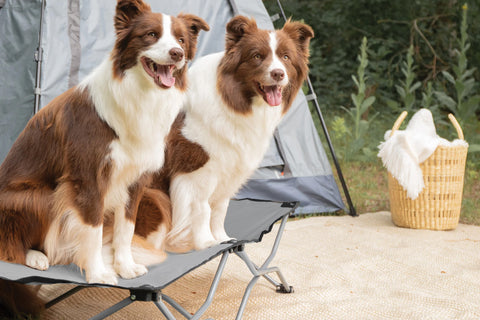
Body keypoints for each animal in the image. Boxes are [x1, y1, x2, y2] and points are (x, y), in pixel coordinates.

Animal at [0, 0, 208, 316]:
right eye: (151, 35)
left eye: (181, 39)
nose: (177, 54)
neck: (140, 95)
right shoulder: (88, 180)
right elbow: (94, 231)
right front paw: (98, 273)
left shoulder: (135, 179)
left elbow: (125, 229)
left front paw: (126, 267)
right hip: (39, 195)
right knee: (8, 245)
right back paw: (35, 257)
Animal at [134, 16, 316, 254]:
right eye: (257, 56)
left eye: (286, 57)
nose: (278, 74)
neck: (233, 99)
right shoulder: (195, 170)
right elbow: (202, 209)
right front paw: (205, 243)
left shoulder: (229, 167)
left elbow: (220, 210)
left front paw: (223, 239)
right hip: (152, 196)